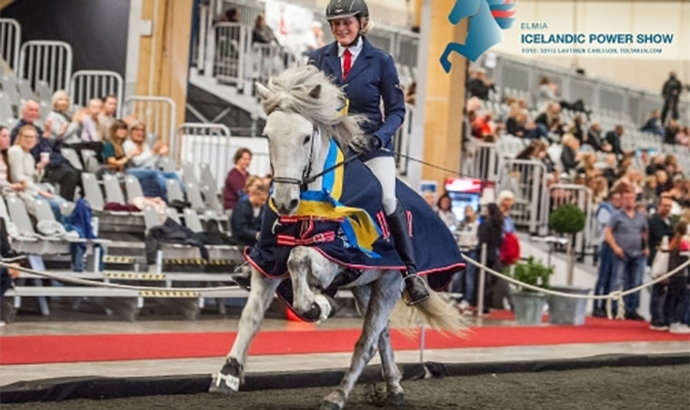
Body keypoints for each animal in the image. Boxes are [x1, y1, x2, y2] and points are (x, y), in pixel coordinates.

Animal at [210, 65, 462, 408]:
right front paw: (228, 373)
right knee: (381, 335)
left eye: (306, 137)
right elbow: (250, 316)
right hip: (366, 286)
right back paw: (394, 388)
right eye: (267, 135)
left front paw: (317, 305)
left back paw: (338, 395)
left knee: (367, 341)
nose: (285, 202)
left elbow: (299, 260)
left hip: (390, 282)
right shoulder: (267, 261)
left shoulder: (336, 255)